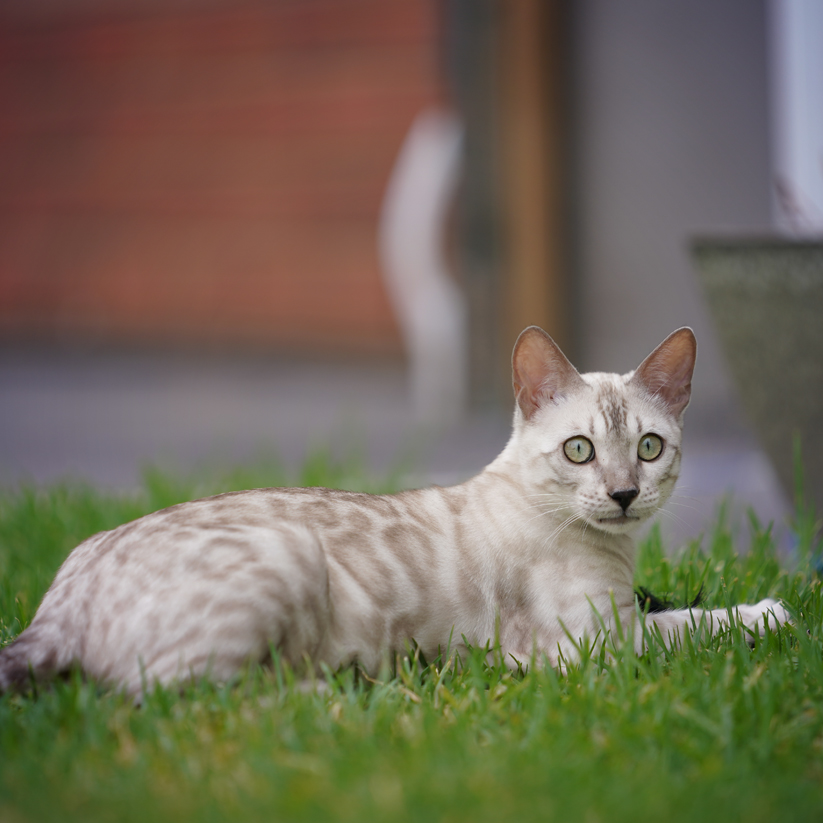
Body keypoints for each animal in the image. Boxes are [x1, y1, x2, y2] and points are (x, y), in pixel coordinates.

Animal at [0, 326, 788, 696]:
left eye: (649, 447)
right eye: (579, 450)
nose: (624, 493)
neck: (615, 552)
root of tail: (54, 606)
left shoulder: (625, 608)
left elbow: (675, 599)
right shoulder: (596, 645)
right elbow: (697, 623)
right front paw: (769, 612)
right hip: (283, 564)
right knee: (171, 691)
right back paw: (348, 690)